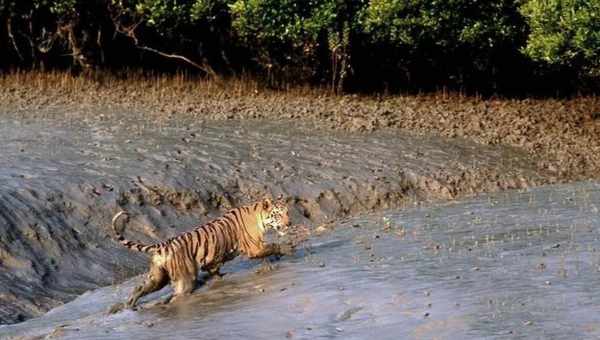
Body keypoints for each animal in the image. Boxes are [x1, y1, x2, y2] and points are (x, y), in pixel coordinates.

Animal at [110, 197, 296, 314]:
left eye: (288, 212)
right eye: (279, 214)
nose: (289, 223)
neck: (260, 217)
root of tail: (163, 244)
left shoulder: (216, 258)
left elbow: (216, 269)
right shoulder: (254, 247)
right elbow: (272, 247)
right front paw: (288, 249)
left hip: (158, 277)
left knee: (139, 288)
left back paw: (129, 304)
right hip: (184, 280)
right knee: (176, 296)